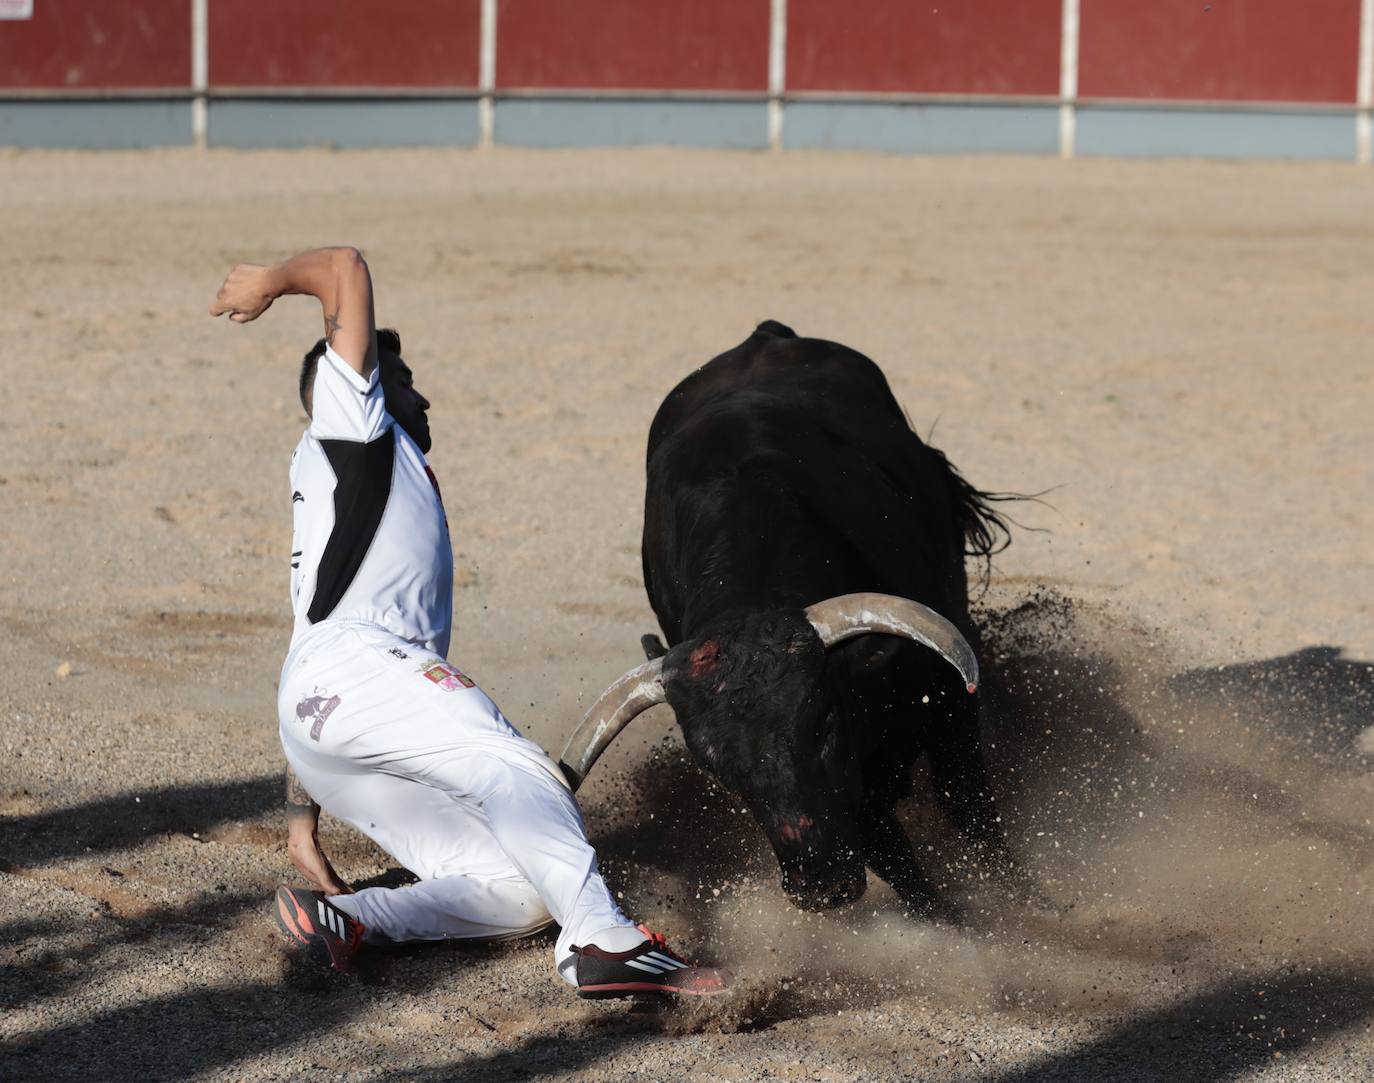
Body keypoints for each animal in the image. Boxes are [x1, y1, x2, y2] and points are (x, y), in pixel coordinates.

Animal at [563, 321, 1027, 912]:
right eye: (718, 768)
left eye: (824, 722)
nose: (819, 884)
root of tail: (766, 335)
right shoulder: (860, 806)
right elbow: (904, 871)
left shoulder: (948, 704)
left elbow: (973, 816)